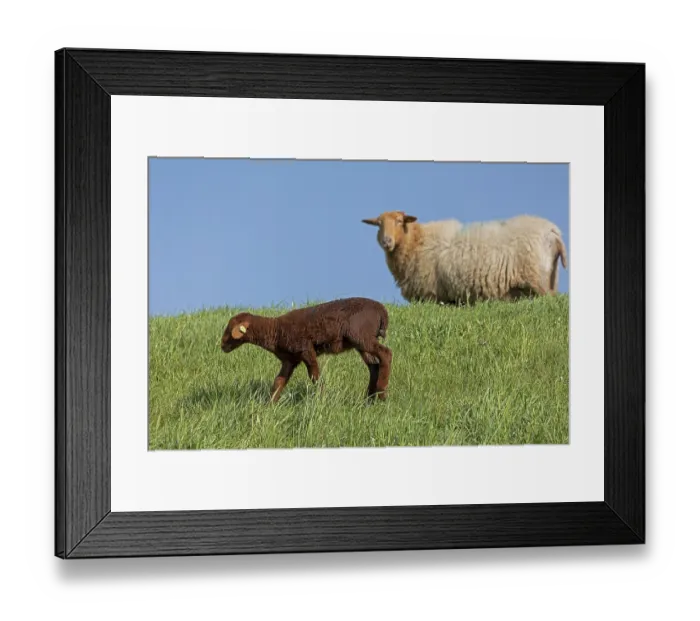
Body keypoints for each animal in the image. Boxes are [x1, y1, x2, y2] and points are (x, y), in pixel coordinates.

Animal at [221, 297, 393, 403]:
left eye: (229, 329)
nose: (222, 346)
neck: (275, 330)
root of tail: (382, 311)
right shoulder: (290, 360)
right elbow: (278, 382)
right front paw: (270, 404)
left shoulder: (306, 349)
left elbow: (314, 376)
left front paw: (322, 399)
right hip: (362, 342)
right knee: (374, 366)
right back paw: (370, 399)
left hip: (361, 336)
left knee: (386, 354)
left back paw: (382, 394)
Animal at [361, 210, 568, 304]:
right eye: (379, 224)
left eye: (399, 221)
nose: (386, 241)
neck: (416, 241)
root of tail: (554, 231)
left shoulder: (430, 295)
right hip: (551, 278)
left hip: (539, 278)